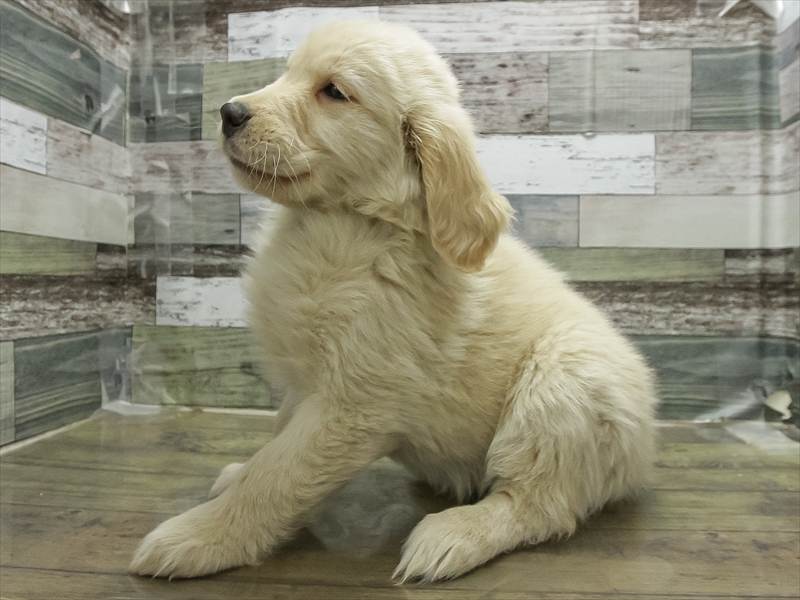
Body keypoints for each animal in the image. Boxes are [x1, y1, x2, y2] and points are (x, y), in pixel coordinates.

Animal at [131, 20, 657, 582]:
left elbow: (277, 475)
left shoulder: (354, 403)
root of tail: (646, 443)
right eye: (287, 73)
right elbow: (276, 439)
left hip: (564, 383)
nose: (228, 112)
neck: (342, 226)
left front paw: (200, 536)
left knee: (540, 503)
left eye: (334, 91)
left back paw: (452, 536)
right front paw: (236, 476)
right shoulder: (309, 384)